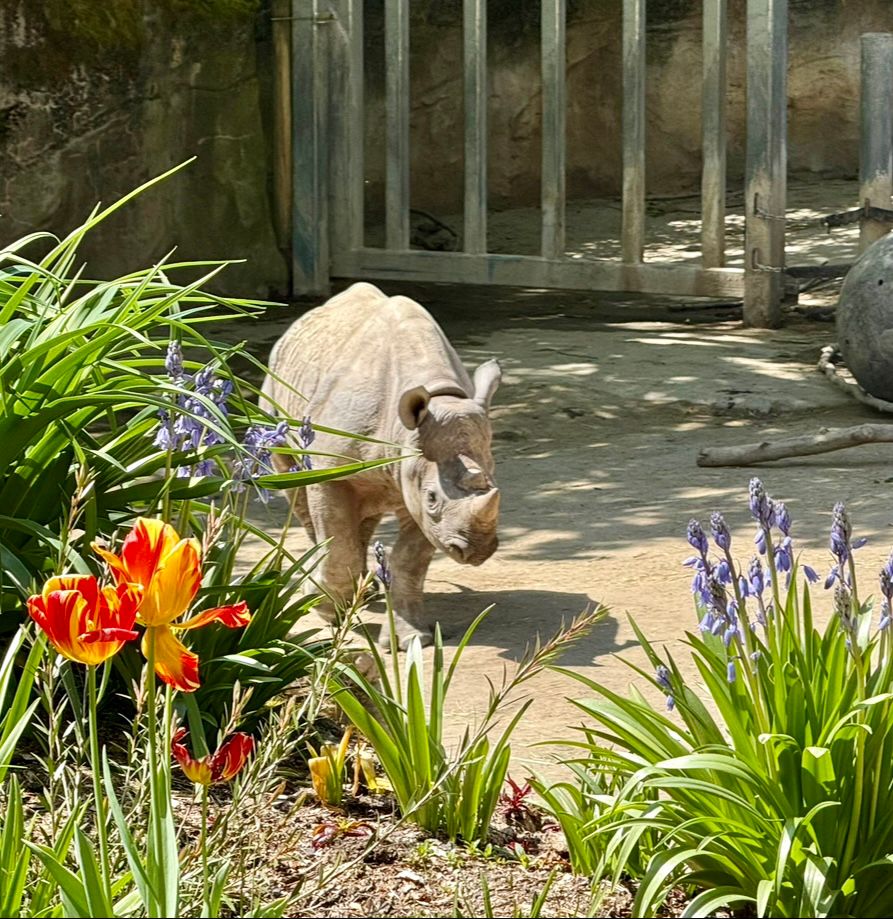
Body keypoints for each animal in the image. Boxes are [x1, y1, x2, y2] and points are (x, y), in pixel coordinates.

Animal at [261, 282, 501, 648]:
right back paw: (320, 592)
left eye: (493, 484)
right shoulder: (334, 471)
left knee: (365, 510)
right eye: (433, 498)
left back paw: (366, 592)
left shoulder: (414, 477)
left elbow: (410, 560)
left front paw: (412, 640)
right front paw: (327, 613)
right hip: (273, 388)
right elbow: (337, 543)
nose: (477, 551)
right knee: (296, 489)